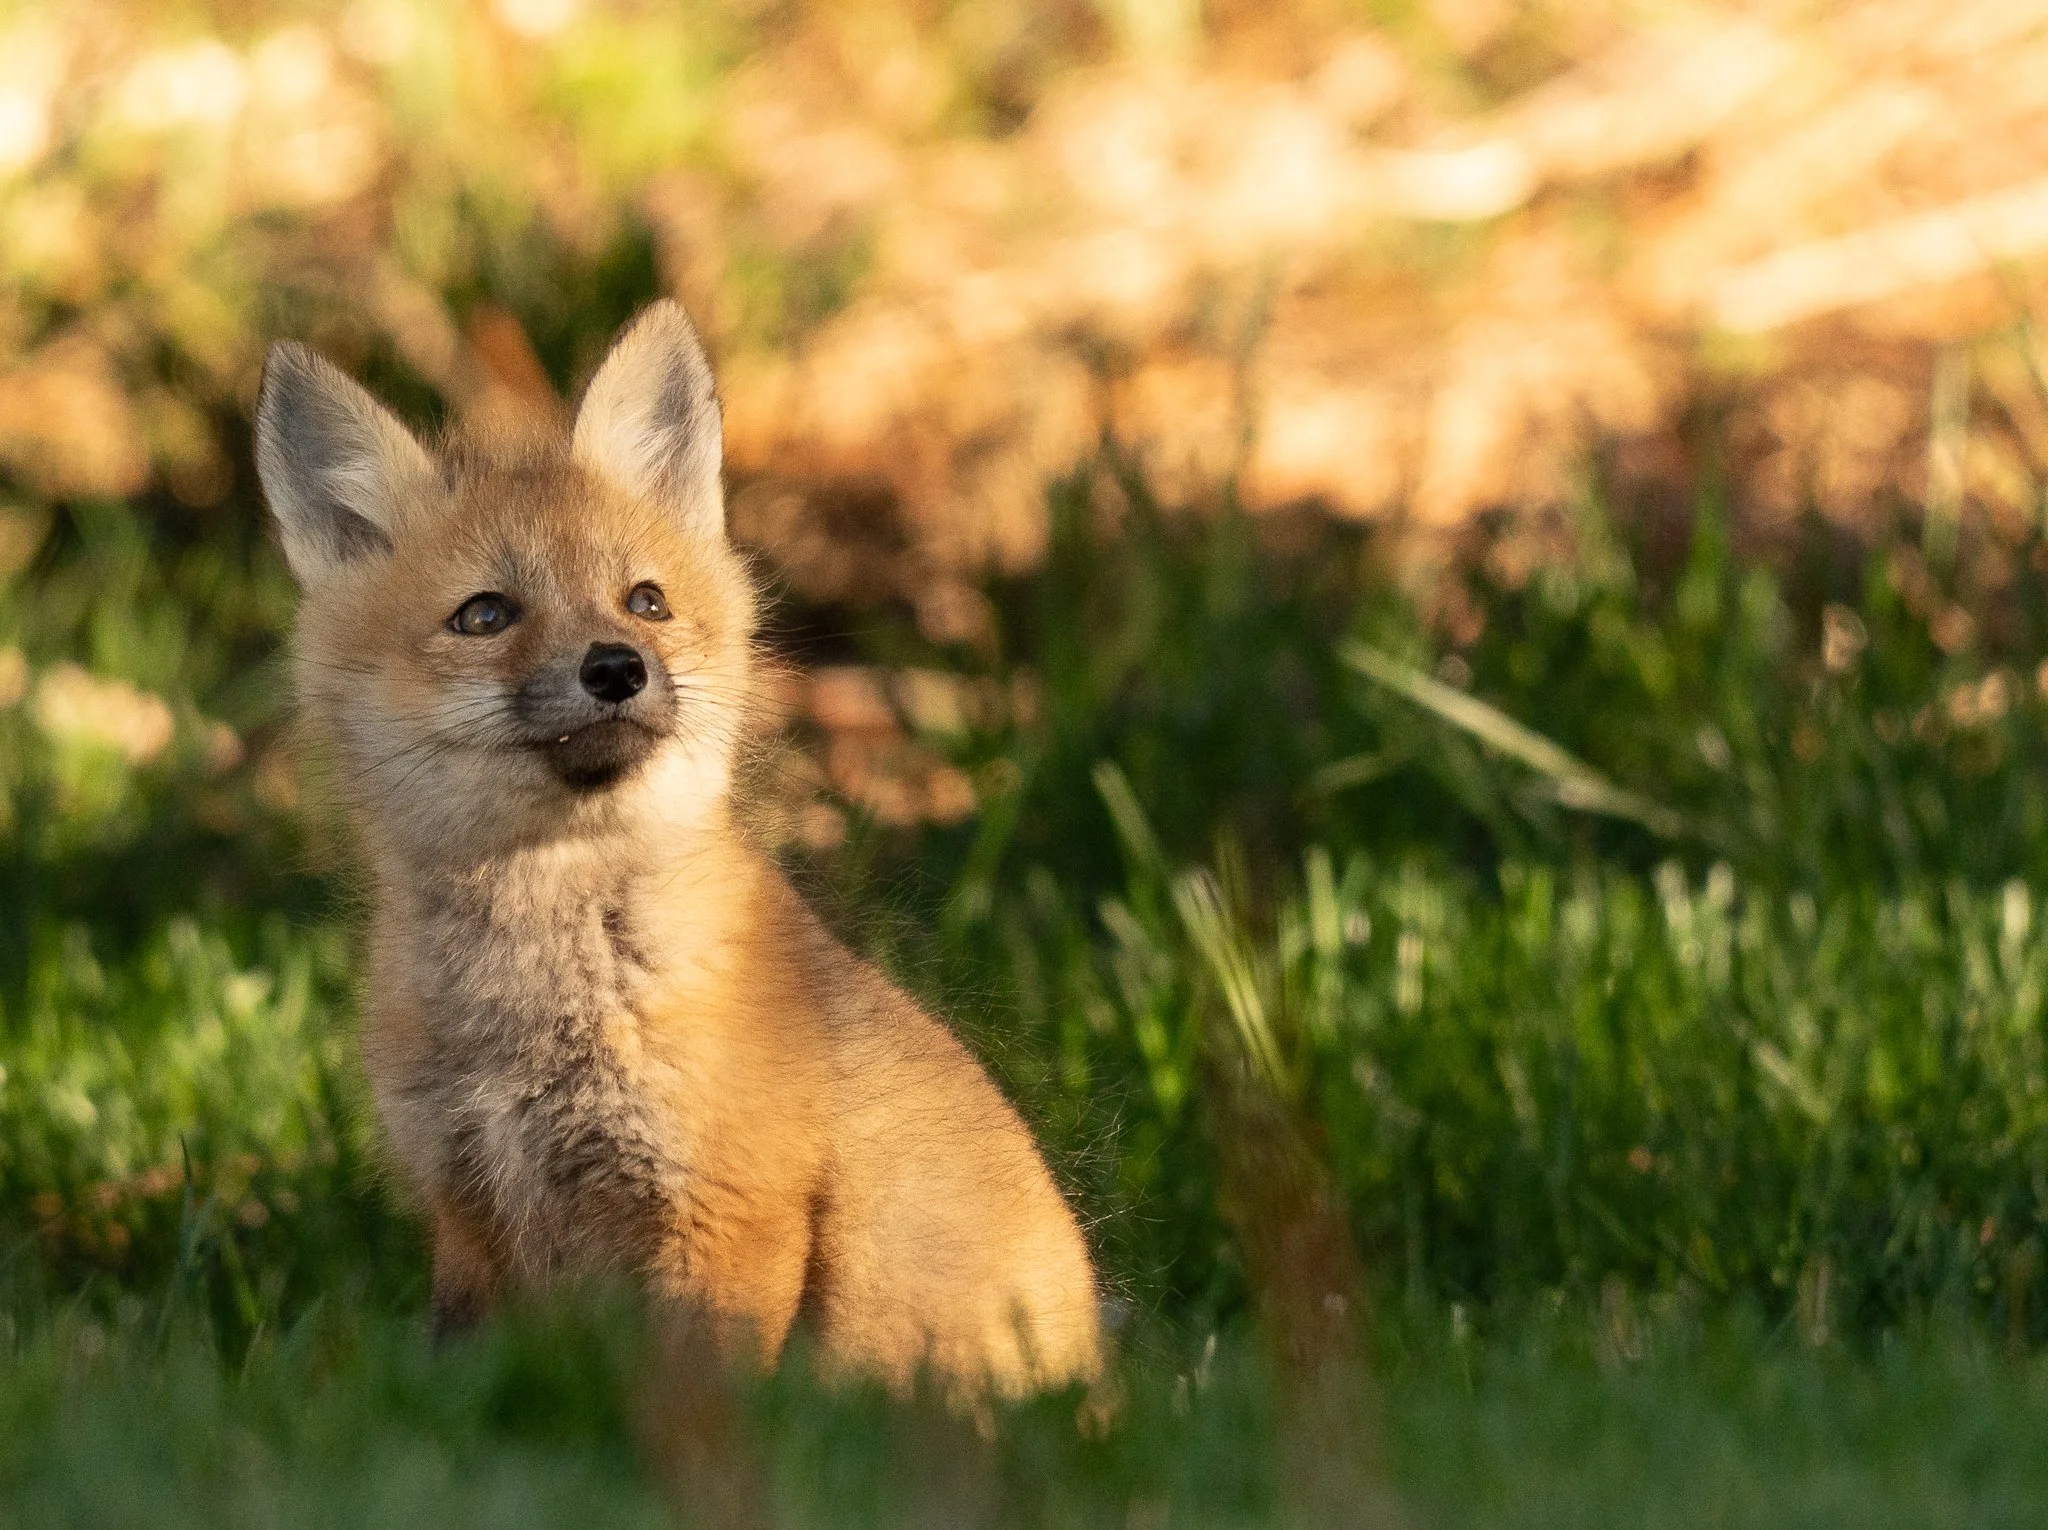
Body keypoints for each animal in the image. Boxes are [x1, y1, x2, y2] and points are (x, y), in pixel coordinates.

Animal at [253, 300, 1102, 1398]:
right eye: (485, 614)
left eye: (645, 601)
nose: (616, 668)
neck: (537, 1011)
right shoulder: (470, 1216)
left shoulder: (725, 1210)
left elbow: (702, 1389)